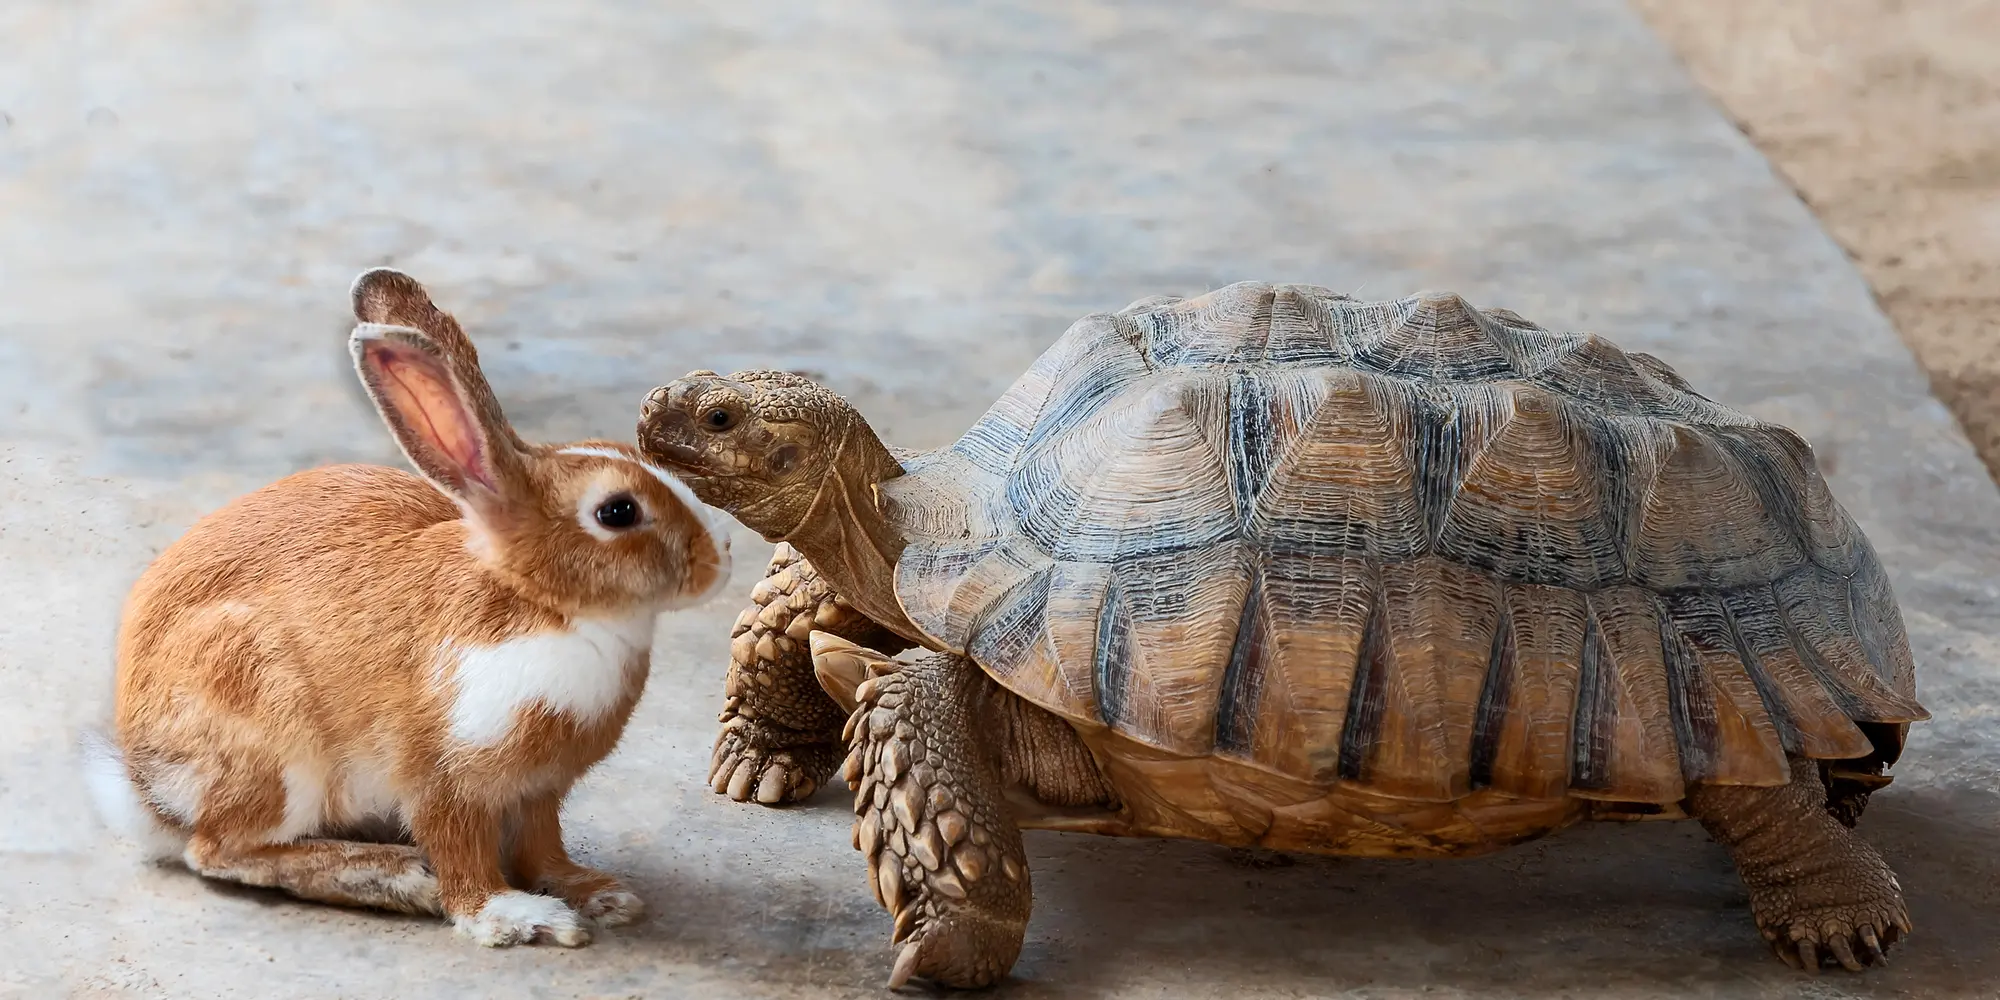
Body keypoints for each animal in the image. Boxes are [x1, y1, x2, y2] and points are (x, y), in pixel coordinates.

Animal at [84, 270, 736, 948]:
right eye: (617, 512)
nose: (721, 559)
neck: (543, 606)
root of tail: (143, 786)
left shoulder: (540, 791)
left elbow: (543, 848)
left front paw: (598, 894)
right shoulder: (442, 778)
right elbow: (462, 858)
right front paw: (515, 918)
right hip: (272, 738)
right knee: (218, 850)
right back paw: (393, 877)